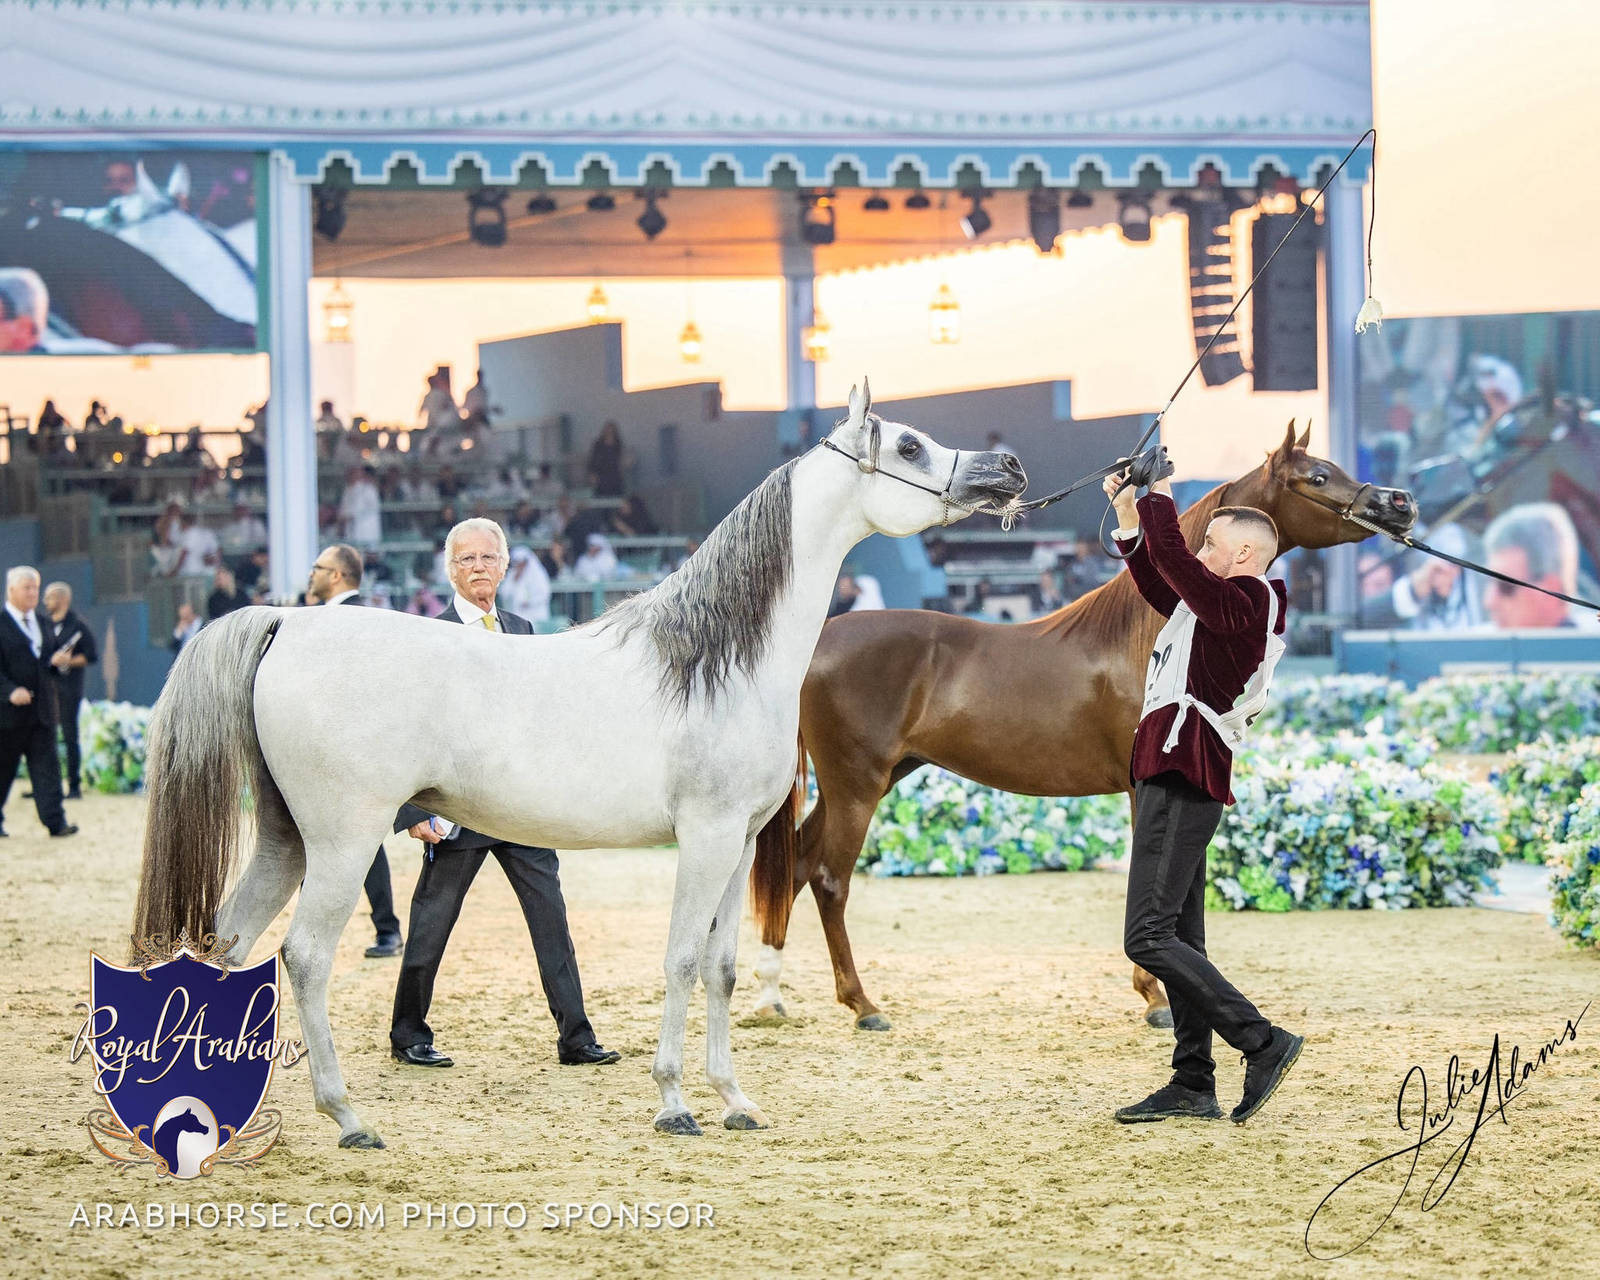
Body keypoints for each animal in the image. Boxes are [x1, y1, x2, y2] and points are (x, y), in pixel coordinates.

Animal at [130, 381, 1027, 1147]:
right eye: (908, 445)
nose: (1008, 470)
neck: (720, 661)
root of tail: (288, 623)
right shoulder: (704, 838)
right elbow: (682, 959)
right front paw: (674, 1104)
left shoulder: (739, 843)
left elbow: (725, 966)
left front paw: (734, 1100)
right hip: (342, 842)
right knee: (304, 958)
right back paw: (346, 1116)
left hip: (286, 839)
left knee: (228, 942)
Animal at [747, 421, 1417, 1031]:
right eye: (1318, 477)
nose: (1399, 502)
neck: (1142, 632)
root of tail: (816, 642)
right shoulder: (1143, 785)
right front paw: (1156, 999)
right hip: (856, 785)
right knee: (828, 879)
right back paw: (863, 1005)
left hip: (870, 781)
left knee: (796, 866)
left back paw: (772, 997)